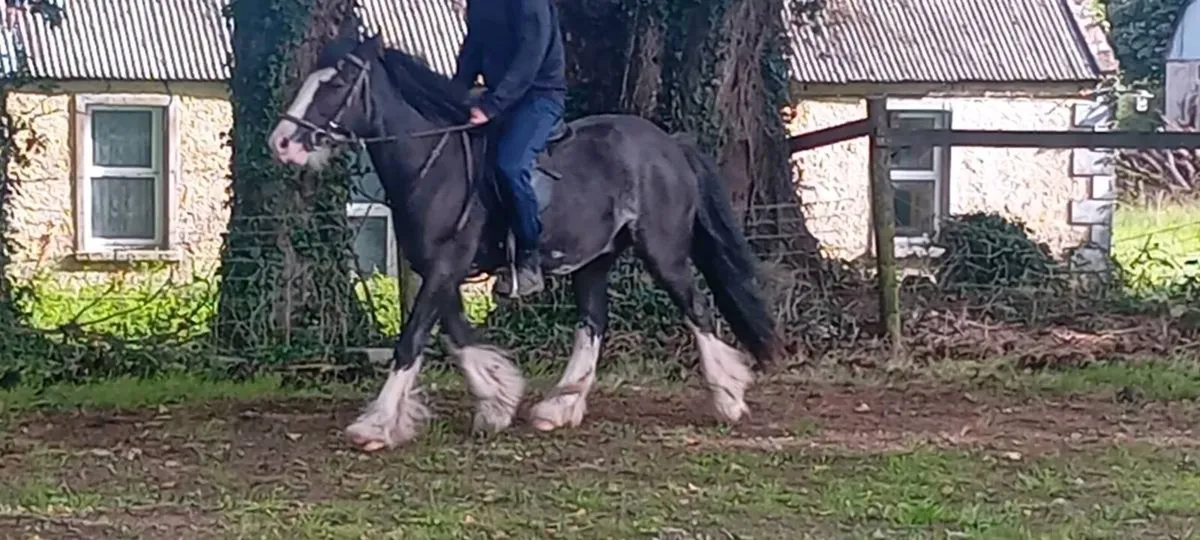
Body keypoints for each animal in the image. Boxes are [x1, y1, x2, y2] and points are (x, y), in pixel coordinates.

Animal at [267, 34, 782, 452]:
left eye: (336, 84)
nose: (281, 143)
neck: (434, 163)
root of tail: (670, 145)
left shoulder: (445, 266)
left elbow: (412, 339)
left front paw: (375, 427)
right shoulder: (438, 269)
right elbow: (457, 336)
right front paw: (496, 401)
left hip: (664, 252)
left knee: (696, 308)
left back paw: (729, 399)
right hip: (594, 260)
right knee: (593, 323)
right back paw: (560, 408)